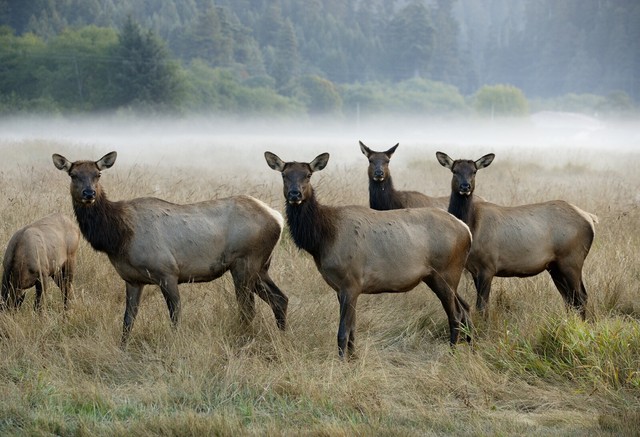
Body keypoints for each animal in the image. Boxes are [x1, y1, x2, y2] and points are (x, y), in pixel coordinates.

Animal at [52, 150, 288, 344]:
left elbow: (175, 315)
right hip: (261, 266)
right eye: (73, 175)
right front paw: (122, 349)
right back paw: (282, 335)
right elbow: (128, 320)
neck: (118, 237)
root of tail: (278, 218)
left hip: (245, 262)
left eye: (98, 174)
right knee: (280, 299)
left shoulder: (167, 271)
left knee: (248, 308)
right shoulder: (132, 279)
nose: (89, 193)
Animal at [266, 150, 476, 358]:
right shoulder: (342, 287)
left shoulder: (350, 282)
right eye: (284, 175)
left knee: (456, 314)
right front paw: (353, 358)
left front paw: (343, 361)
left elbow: (343, 332)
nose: (295, 194)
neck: (323, 239)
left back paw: (452, 353)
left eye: (308, 175)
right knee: (464, 308)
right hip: (436, 276)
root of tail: (466, 230)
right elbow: (352, 329)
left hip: (447, 272)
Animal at [438, 152, 596, 318]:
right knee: (569, 298)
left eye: (474, 171)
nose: (465, 186)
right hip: (555, 266)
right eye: (454, 171)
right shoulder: (474, 270)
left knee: (581, 297)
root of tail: (590, 218)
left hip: (572, 259)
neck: (472, 228)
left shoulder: (488, 267)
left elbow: (482, 307)